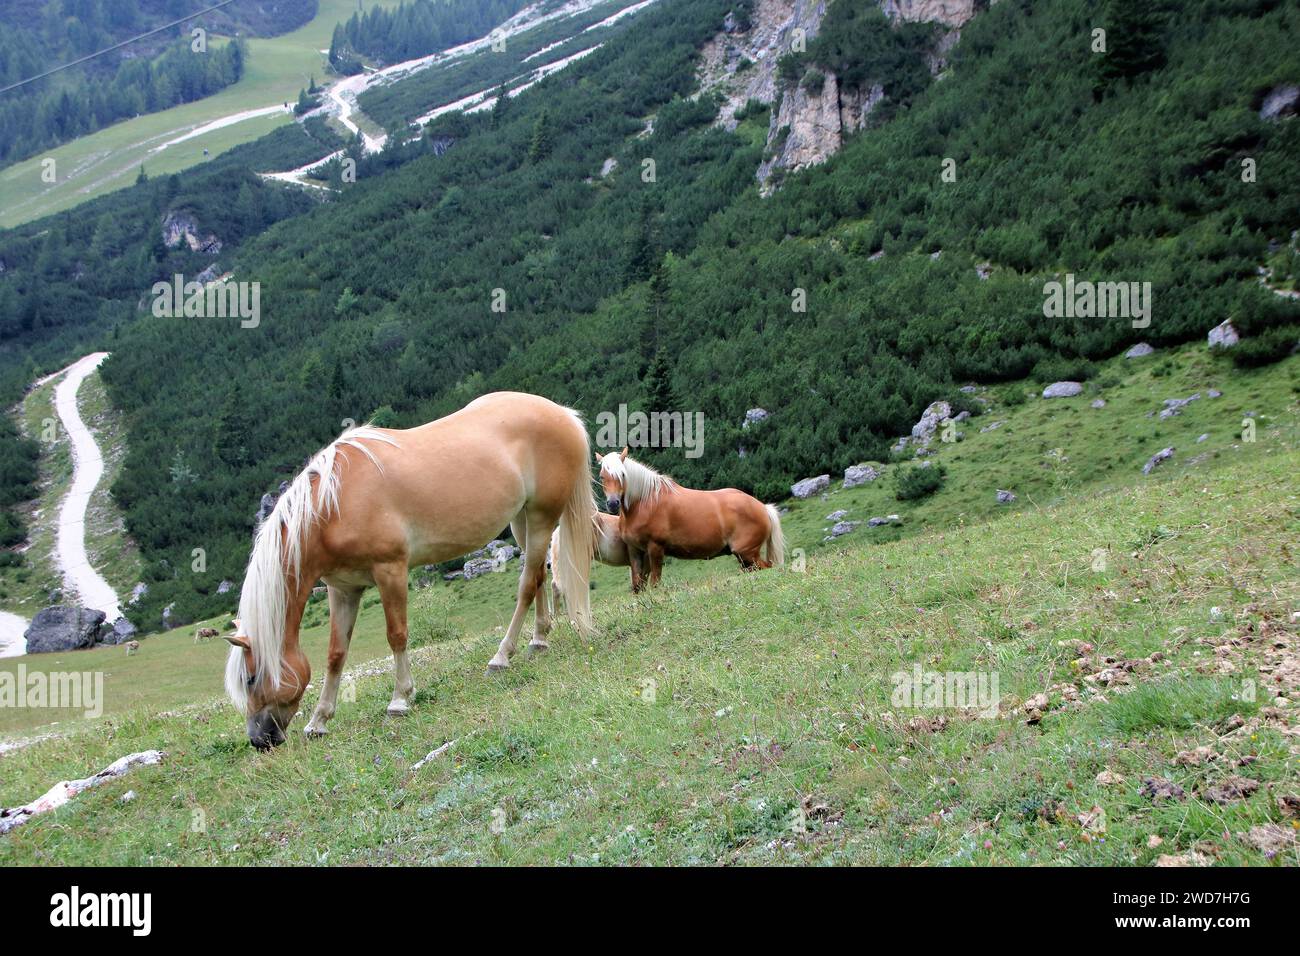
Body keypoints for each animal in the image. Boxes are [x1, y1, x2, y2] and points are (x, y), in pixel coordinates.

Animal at [224, 392, 598, 749]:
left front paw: (400, 699)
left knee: (525, 586)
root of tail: (563, 414)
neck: (335, 504)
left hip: (541, 517)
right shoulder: (342, 589)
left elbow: (397, 635)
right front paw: (319, 721)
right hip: (522, 521)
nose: (259, 740)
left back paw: (501, 656)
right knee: (538, 576)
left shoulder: (390, 571)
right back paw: (539, 640)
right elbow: (336, 653)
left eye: (250, 678)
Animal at [595, 447, 780, 590]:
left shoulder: (655, 548)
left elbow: (655, 583)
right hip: (744, 558)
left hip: (748, 553)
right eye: (602, 476)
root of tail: (762, 507)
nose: (613, 503)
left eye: (622, 474)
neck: (645, 502)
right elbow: (637, 586)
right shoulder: (635, 551)